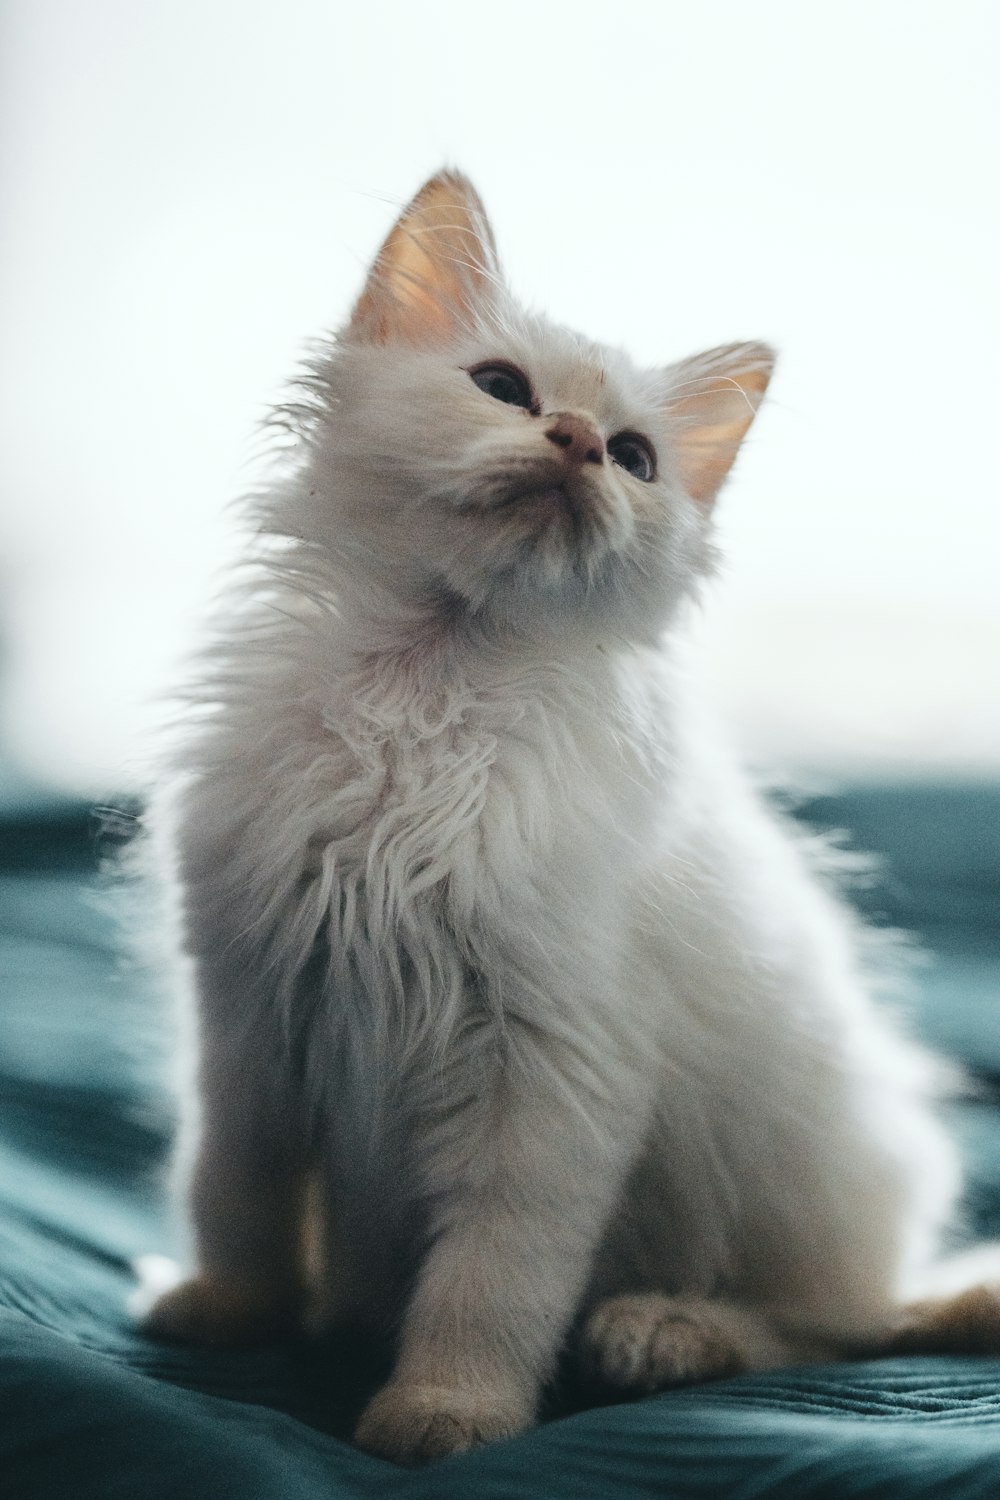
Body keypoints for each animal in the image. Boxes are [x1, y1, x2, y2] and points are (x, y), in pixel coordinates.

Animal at [144, 170, 995, 1458]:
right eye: (503, 390)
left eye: (636, 458)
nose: (581, 444)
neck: (424, 699)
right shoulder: (250, 1017)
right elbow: (233, 1198)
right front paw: (231, 1316)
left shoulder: (551, 1075)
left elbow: (490, 1284)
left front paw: (443, 1412)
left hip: (800, 1177)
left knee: (836, 1332)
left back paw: (662, 1335)